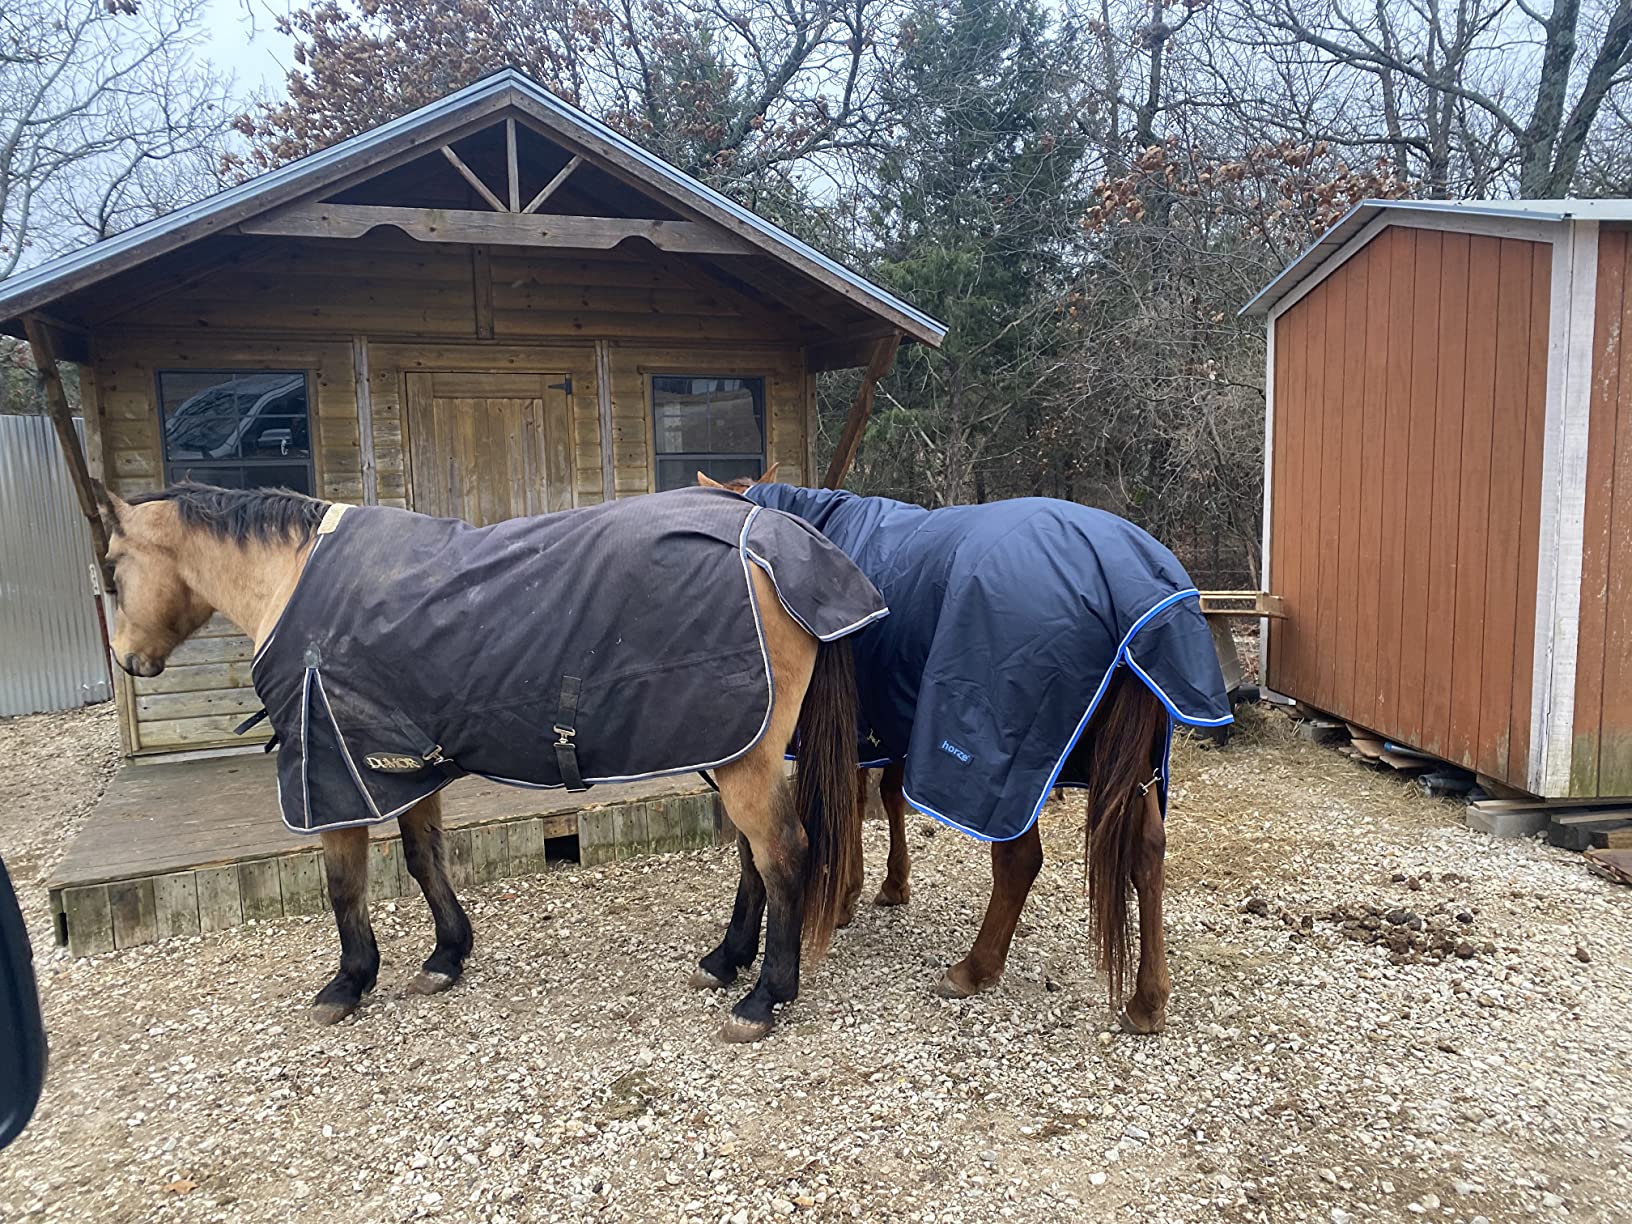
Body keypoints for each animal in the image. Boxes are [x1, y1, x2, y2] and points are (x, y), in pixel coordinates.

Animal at [94, 480, 879, 1043]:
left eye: (111, 567)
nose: (128, 660)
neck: (295, 585)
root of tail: (782, 536)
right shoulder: (401, 768)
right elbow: (424, 860)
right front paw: (446, 956)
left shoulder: (335, 776)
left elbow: (344, 884)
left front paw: (349, 982)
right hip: (732, 747)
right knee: (753, 857)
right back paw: (725, 960)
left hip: (743, 756)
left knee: (782, 853)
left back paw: (764, 997)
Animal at [700, 469, 1231, 1033]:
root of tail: (1129, 583)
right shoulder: (890, 722)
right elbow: (887, 796)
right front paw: (885, 886)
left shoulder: (846, 733)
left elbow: (847, 805)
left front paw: (842, 897)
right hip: (1127, 765)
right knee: (1148, 853)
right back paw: (1147, 1001)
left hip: (1009, 769)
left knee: (1020, 858)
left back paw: (974, 969)